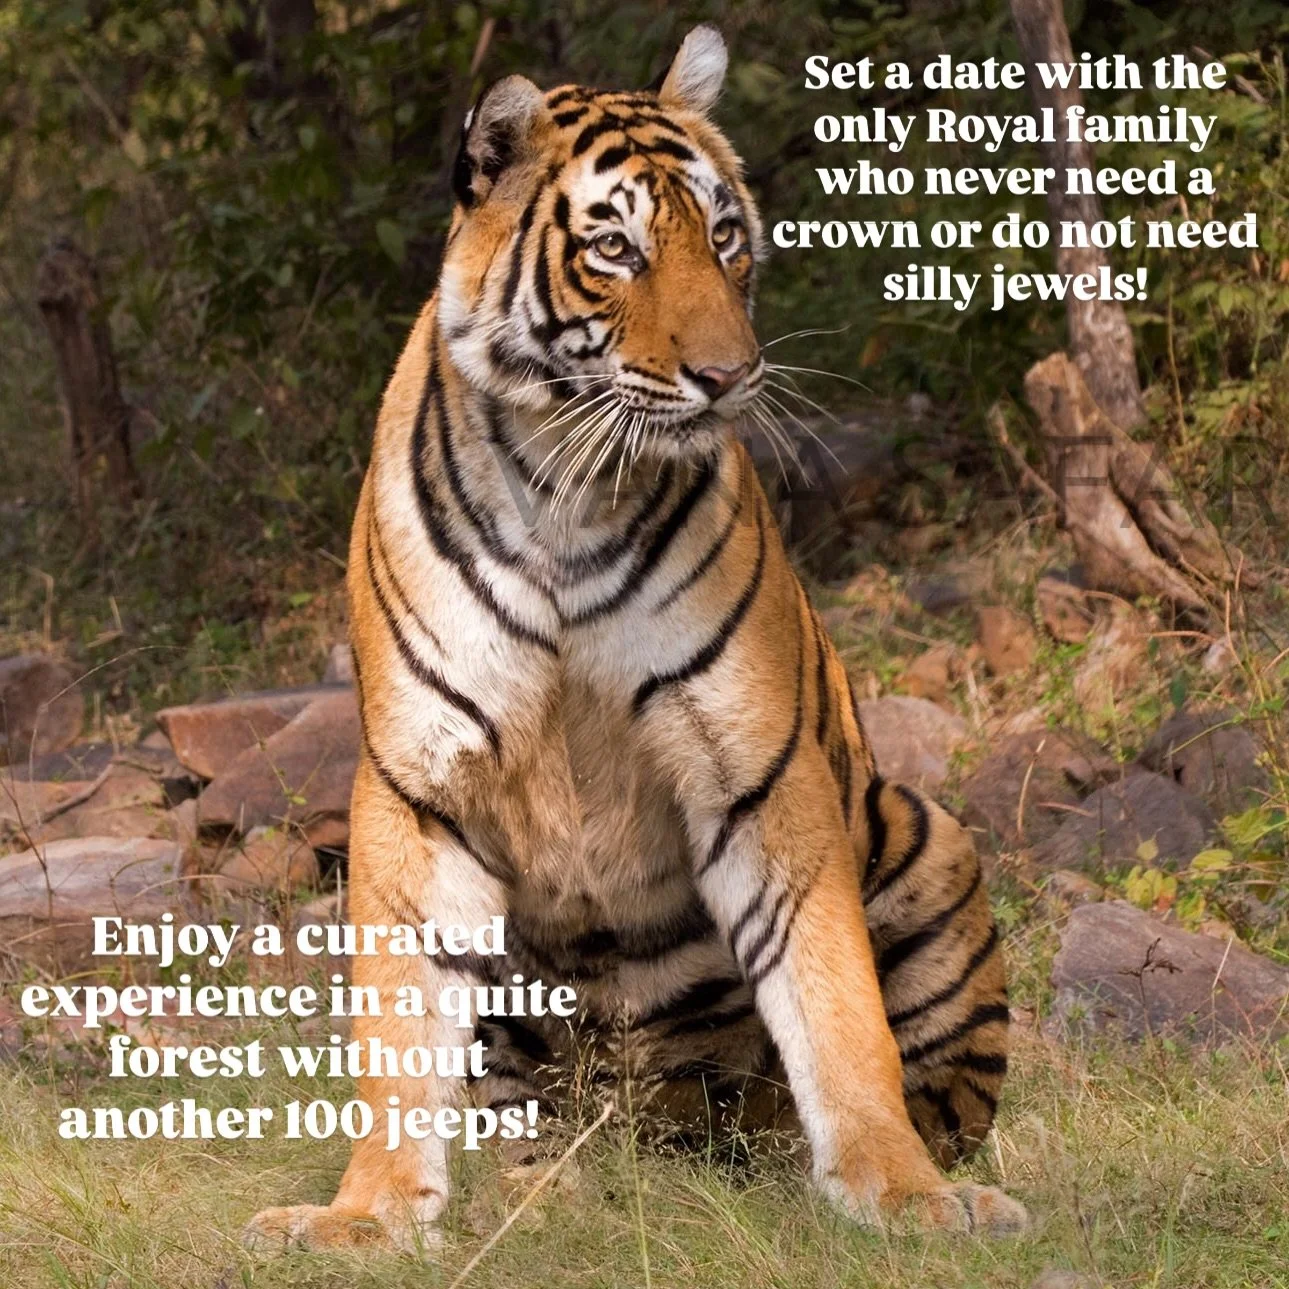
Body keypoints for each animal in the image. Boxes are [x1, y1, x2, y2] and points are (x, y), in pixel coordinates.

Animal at [244, 24, 1023, 1253]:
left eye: (724, 235)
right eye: (613, 246)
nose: (728, 376)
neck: (566, 485)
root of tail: (643, 1133)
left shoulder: (761, 769)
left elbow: (836, 1001)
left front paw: (900, 1194)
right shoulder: (419, 785)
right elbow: (398, 1023)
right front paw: (367, 1214)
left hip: (922, 835)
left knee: (914, 1092)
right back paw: (539, 1184)